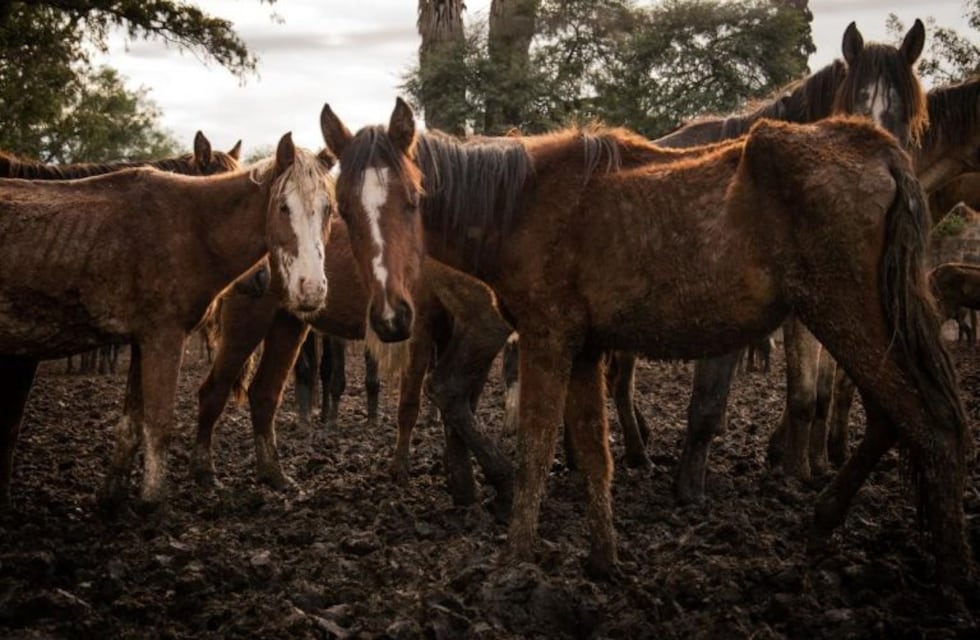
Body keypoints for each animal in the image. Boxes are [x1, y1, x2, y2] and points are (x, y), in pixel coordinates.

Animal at [0, 133, 333, 509]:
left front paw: (112, 500)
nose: (311, 288)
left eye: (328, 209)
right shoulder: (163, 338)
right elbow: (159, 425)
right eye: (283, 207)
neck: (189, 225)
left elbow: (131, 426)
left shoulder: (141, 342)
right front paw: (153, 504)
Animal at [324, 97, 970, 581]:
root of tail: (875, 146)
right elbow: (593, 453)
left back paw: (948, 574)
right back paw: (827, 520)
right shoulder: (583, 349)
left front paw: (515, 558)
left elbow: (536, 448)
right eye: (343, 212)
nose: (391, 318)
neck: (521, 204)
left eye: (415, 200)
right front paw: (604, 560)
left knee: (929, 427)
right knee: (892, 419)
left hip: (846, 313)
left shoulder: (547, 338)